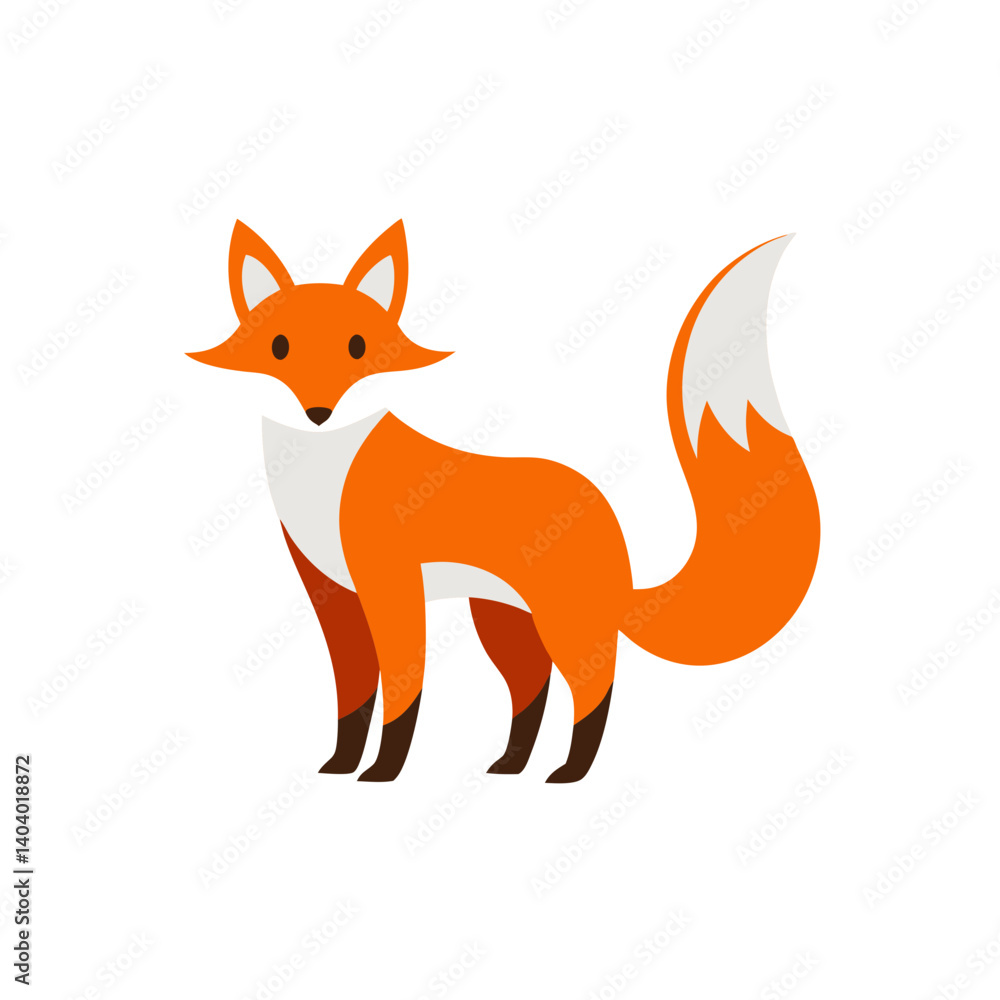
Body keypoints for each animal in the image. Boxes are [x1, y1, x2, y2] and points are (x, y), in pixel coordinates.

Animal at [188, 220, 820, 782]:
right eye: (279, 347)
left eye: (357, 347)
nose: (318, 412)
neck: (324, 475)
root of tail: (607, 513)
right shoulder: (334, 597)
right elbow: (353, 698)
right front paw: (341, 766)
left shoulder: (393, 587)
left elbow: (402, 695)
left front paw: (383, 772)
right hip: (502, 619)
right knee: (530, 691)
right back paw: (512, 765)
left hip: (563, 622)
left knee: (593, 690)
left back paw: (569, 773)